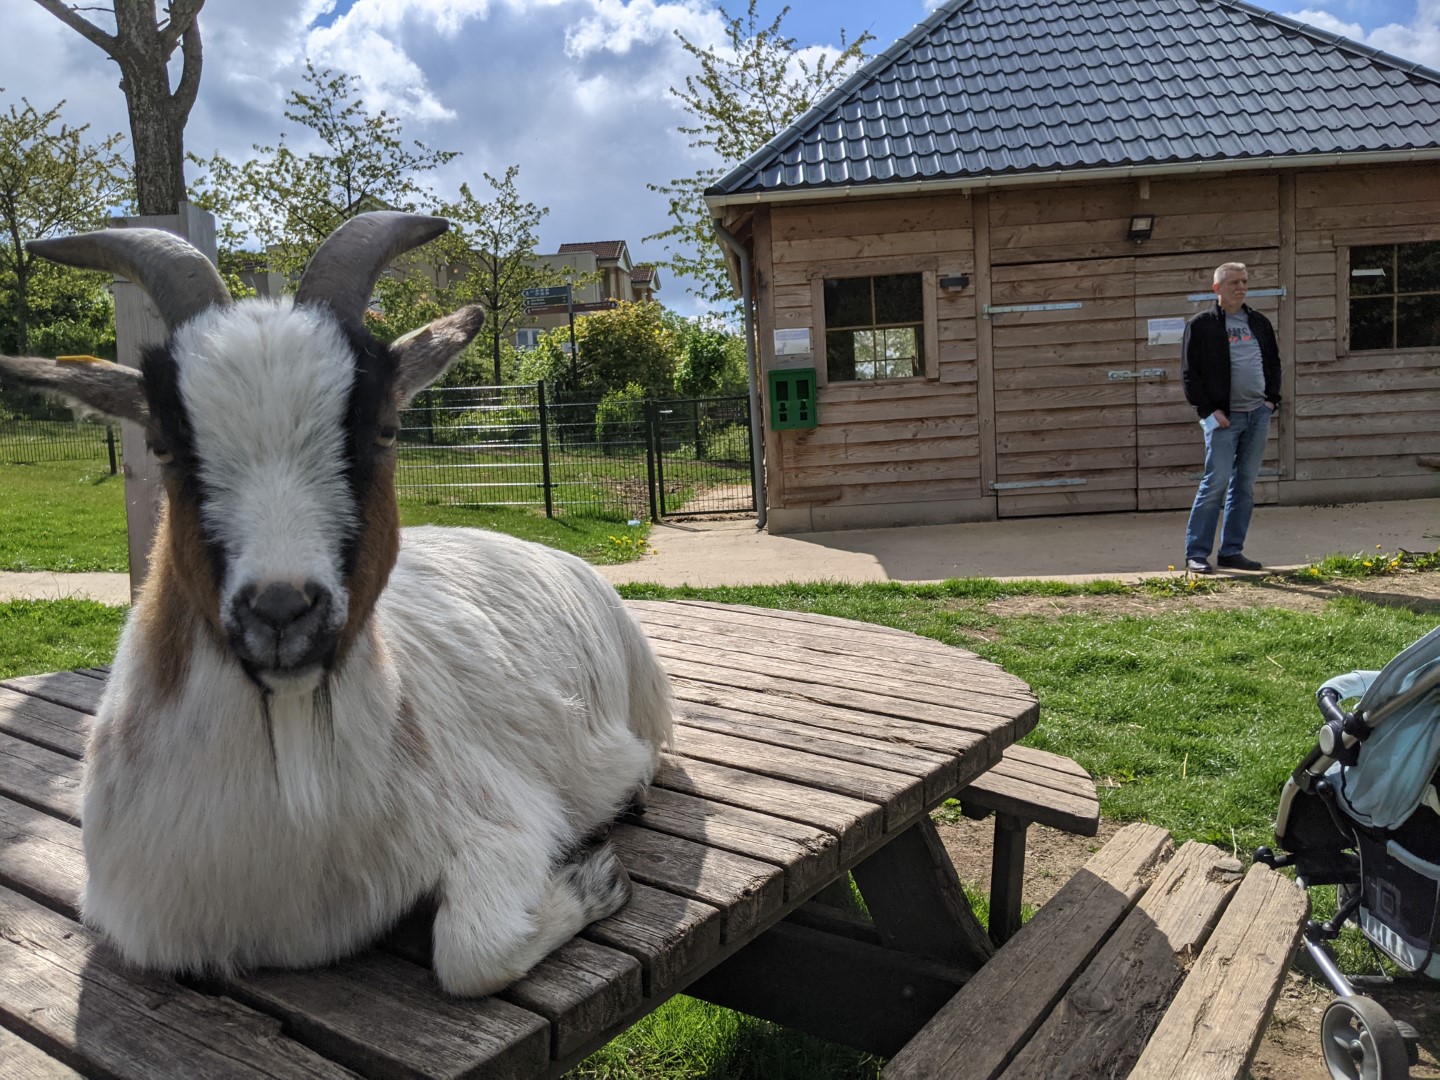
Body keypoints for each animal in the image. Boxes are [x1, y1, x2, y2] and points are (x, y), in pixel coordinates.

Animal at [0, 211, 673, 996]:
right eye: (164, 445)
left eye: (384, 429)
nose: (281, 609)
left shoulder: (502, 818)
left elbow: (471, 952)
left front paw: (598, 878)